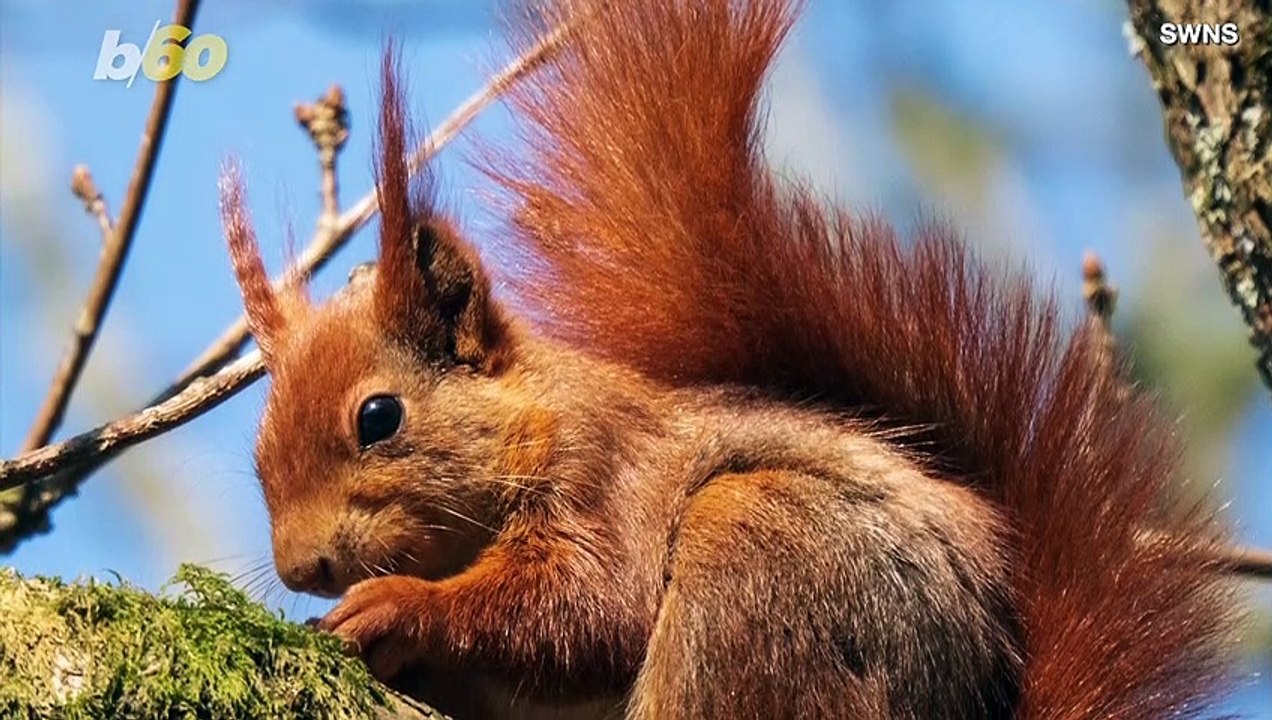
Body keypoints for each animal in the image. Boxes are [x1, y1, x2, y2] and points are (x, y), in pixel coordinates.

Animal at [217, 0, 1240, 717]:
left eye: (378, 417)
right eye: (257, 453)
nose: (302, 567)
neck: (536, 415)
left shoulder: (606, 479)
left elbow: (588, 611)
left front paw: (397, 606)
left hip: (759, 554)